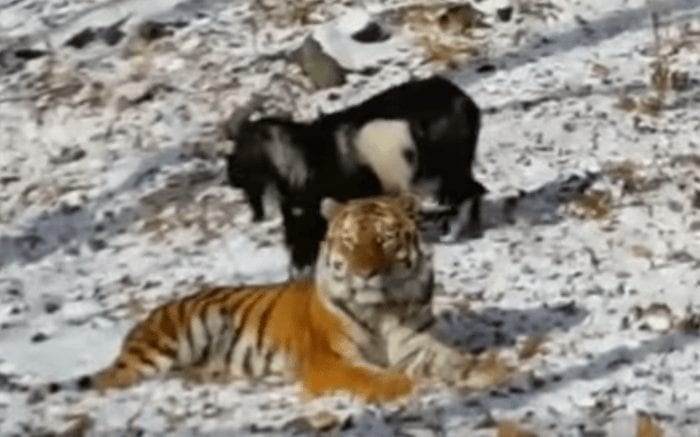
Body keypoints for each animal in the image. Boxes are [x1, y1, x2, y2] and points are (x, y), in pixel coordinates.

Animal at [42, 194, 500, 403]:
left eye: (385, 239)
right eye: (350, 242)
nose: (365, 272)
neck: (383, 308)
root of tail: (147, 317)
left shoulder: (418, 345)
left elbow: (453, 359)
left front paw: (489, 368)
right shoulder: (331, 362)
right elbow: (377, 378)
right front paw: (411, 386)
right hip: (171, 340)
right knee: (111, 379)